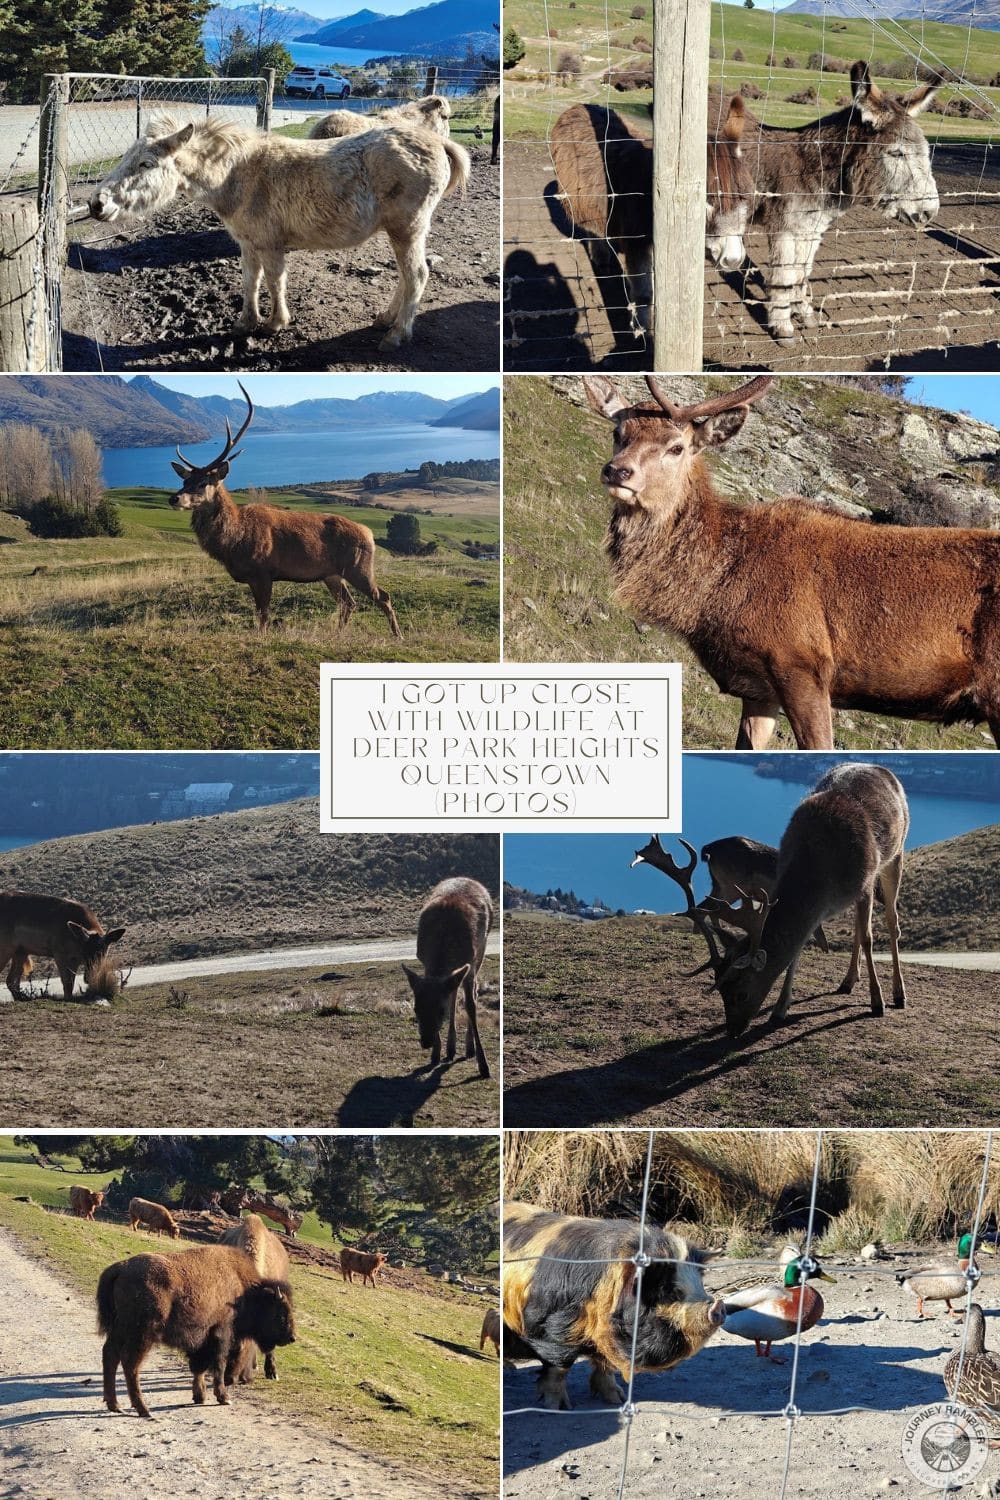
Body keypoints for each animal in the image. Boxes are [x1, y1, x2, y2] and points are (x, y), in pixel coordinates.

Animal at [167, 383, 401, 637]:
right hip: (332, 574)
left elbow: (264, 614)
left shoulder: (263, 572)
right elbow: (260, 613)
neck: (233, 543)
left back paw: (397, 635)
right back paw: (338, 634)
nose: (174, 498)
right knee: (348, 602)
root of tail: (369, 533)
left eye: (203, 483)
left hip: (358, 567)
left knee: (383, 597)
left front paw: (262, 636)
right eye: (184, 481)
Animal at [402, 877, 493, 1079]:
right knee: (453, 993)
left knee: (472, 994)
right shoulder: (425, 962)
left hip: (481, 951)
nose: (426, 1042)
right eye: (416, 1009)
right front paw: (436, 1054)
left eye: (440, 1011)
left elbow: (470, 1006)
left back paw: (468, 1048)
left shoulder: (469, 962)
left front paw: (483, 1065)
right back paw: (450, 1049)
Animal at [631, 833, 828, 955]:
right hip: (732, 885)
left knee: (706, 907)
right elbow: (819, 934)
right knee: (710, 907)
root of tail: (709, 849)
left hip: (719, 884)